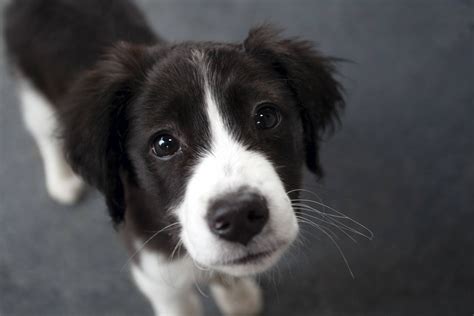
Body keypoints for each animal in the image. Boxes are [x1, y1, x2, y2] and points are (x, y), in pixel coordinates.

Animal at [3, 0, 344, 314]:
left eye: (266, 117)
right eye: (164, 144)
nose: (238, 217)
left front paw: (238, 297)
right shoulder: (155, 274)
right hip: (33, 91)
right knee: (44, 133)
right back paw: (62, 180)